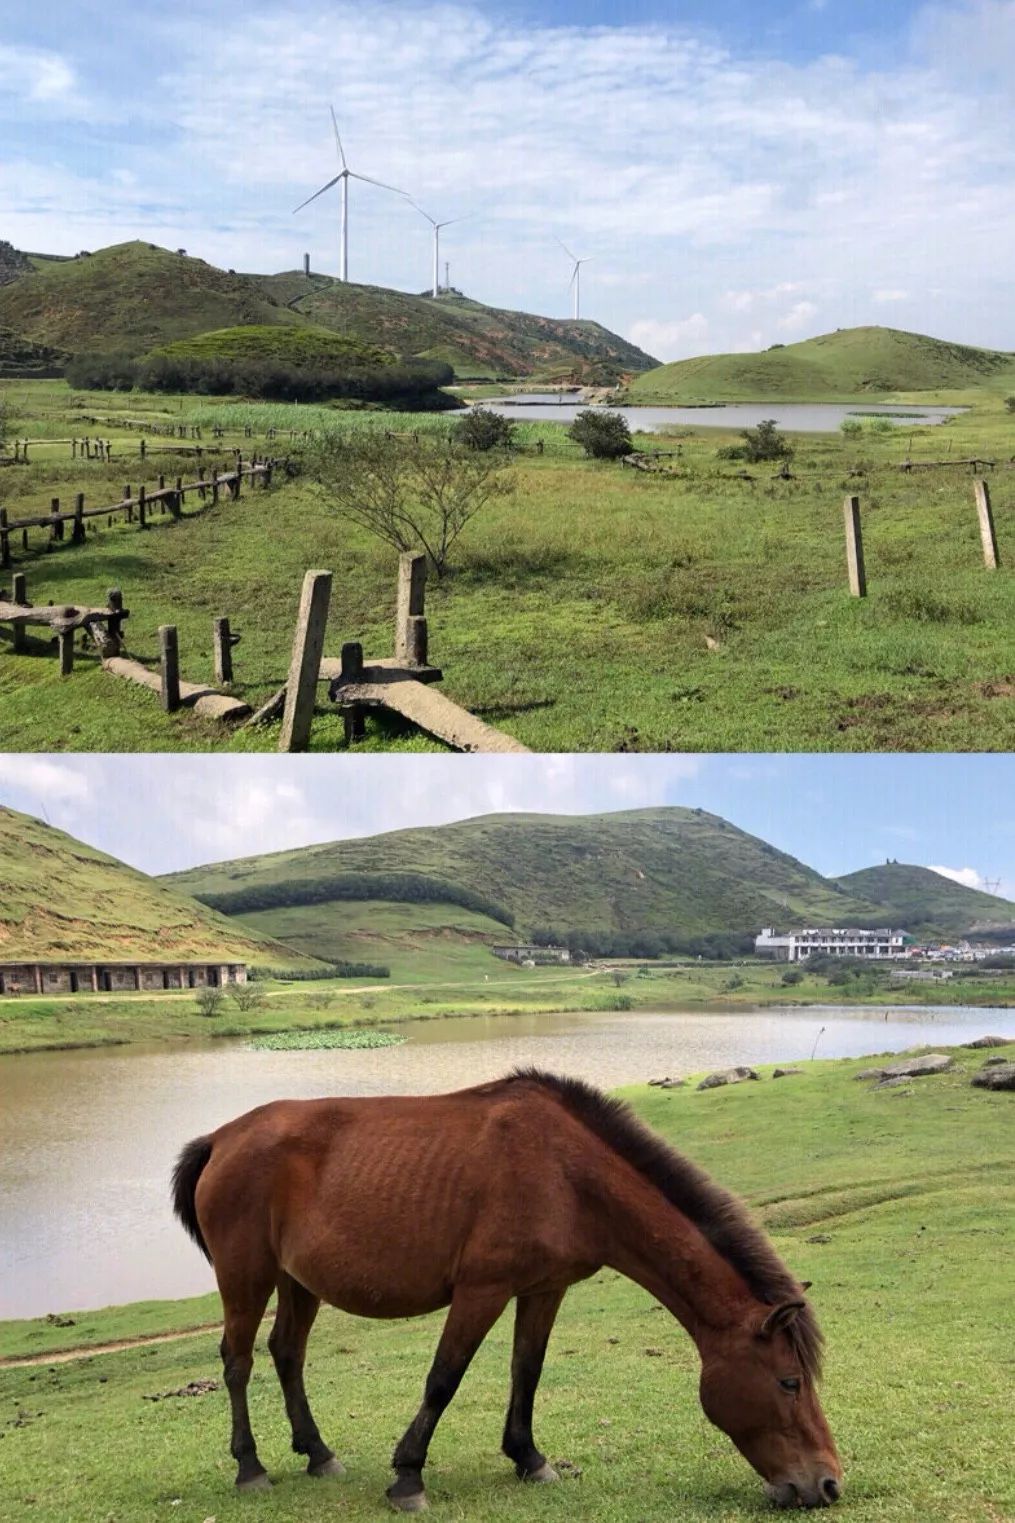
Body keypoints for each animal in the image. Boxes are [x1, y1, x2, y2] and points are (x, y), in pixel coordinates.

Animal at [172, 1072, 835, 1510]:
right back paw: (251, 1467)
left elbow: (527, 1371)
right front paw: (408, 1476)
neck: (566, 1175)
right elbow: (444, 1377)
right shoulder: (481, 1290)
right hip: (246, 1276)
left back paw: (317, 1453)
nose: (827, 1485)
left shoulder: (543, 1290)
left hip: (297, 1281)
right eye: (789, 1382)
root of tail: (222, 1139)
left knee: (287, 1354)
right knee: (237, 1361)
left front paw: (529, 1458)